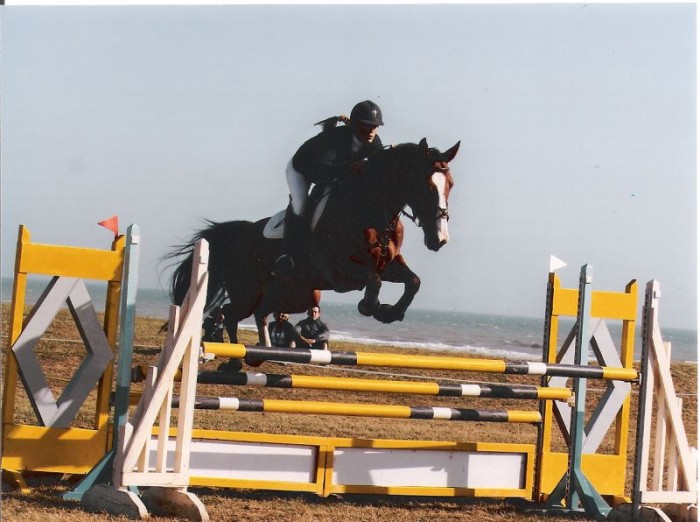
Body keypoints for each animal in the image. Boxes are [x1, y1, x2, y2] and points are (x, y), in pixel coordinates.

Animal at [167, 138, 460, 347]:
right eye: (426, 185)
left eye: (450, 184)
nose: (440, 239)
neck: (371, 208)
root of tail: (239, 235)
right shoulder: (342, 271)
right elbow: (374, 282)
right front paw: (372, 307)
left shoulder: (388, 264)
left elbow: (413, 281)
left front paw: (390, 313)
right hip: (248, 294)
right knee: (227, 314)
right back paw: (230, 353)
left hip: (287, 296)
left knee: (253, 314)